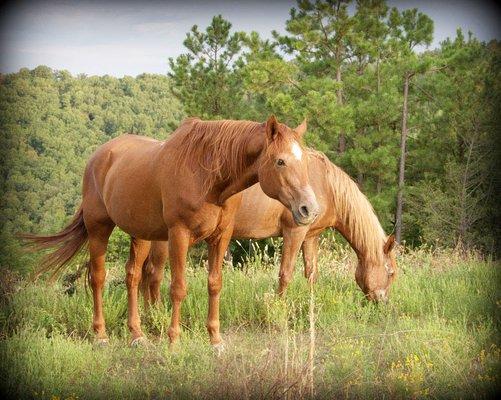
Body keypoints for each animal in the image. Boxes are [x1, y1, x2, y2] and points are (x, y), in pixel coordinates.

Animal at [21, 115, 318, 346]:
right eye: (280, 161)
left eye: (305, 163)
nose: (309, 209)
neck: (208, 175)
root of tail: (99, 155)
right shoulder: (179, 235)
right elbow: (177, 287)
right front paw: (173, 340)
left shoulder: (220, 237)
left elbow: (214, 284)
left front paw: (215, 340)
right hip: (99, 229)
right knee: (98, 278)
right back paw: (101, 335)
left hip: (140, 234)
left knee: (132, 277)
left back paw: (137, 335)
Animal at [140, 150, 394, 306]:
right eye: (390, 272)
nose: (382, 302)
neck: (325, 184)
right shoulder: (295, 231)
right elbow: (286, 273)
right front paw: (279, 307)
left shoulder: (310, 236)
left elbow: (311, 273)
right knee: (154, 273)